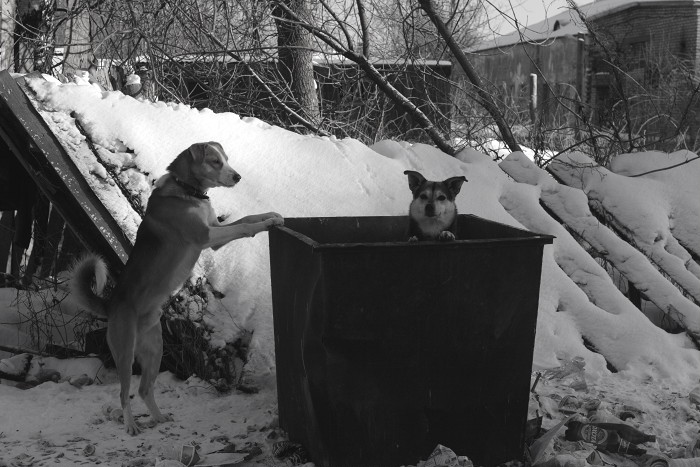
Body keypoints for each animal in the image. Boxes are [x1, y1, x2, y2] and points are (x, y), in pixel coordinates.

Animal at [68, 142, 282, 436]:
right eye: (215, 161)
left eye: (226, 159)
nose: (238, 177)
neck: (188, 191)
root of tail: (111, 305)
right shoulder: (206, 236)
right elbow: (247, 226)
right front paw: (267, 224)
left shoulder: (215, 231)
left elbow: (248, 218)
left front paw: (272, 215)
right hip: (124, 354)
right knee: (124, 394)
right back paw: (131, 425)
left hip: (154, 351)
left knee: (145, 390)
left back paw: (159, 418)